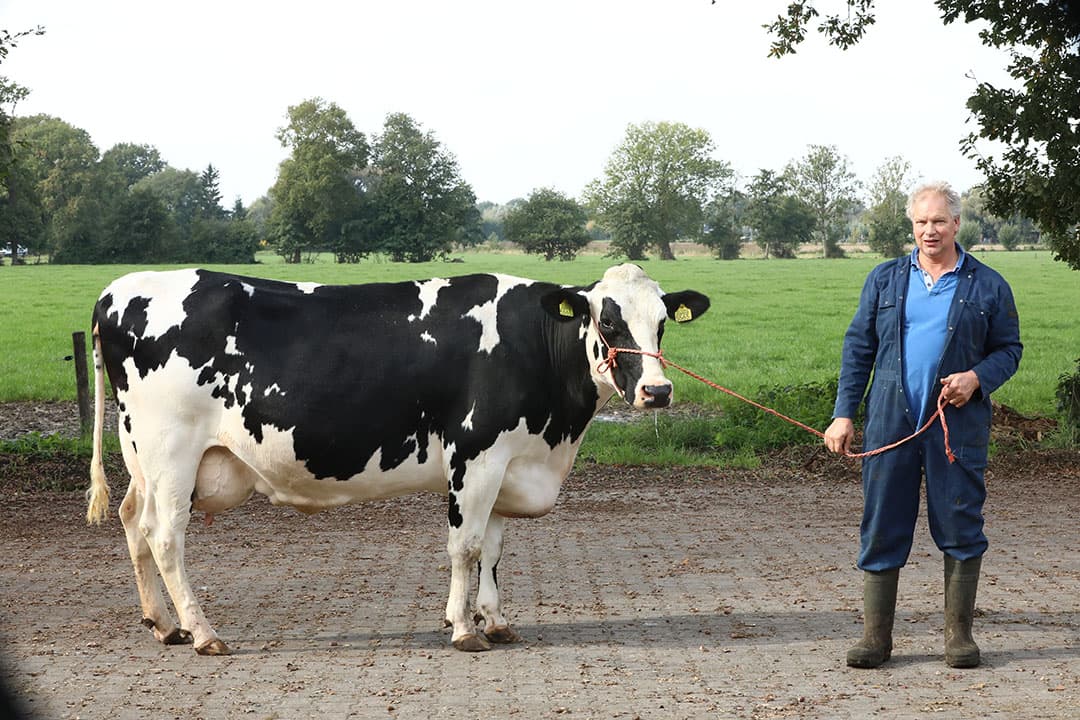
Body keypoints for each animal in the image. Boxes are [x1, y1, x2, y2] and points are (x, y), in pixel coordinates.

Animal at [85, 263, 710, 654]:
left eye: (661, 322)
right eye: (608, 319)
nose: (657, 391)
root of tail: (118, 291)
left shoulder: (510, 462)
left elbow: (495, 549)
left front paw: (496, 621)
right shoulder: (476, 454)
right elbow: (466, 546)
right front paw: (463, 629)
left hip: (141, 455)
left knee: (133, 522)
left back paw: (163, 625)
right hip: (172, 453)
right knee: (166, 537)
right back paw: (202, 632)